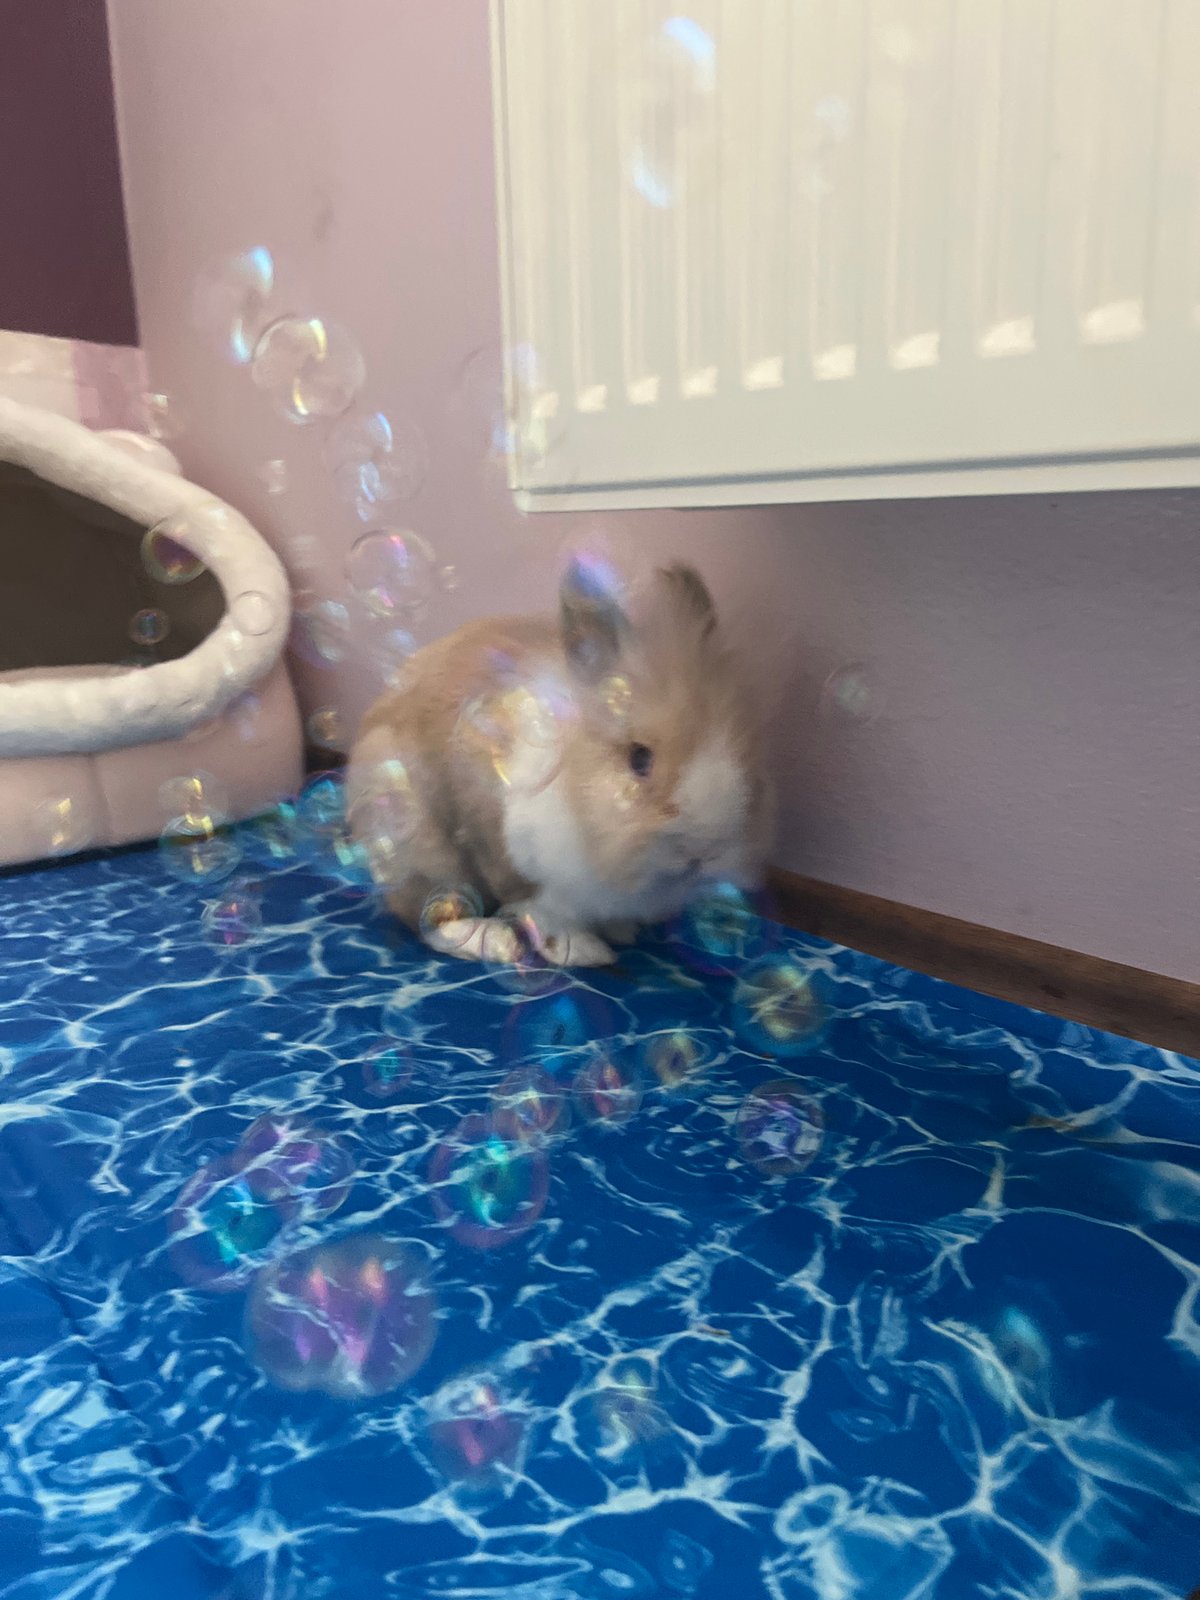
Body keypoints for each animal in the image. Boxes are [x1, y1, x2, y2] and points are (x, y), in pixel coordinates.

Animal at [347, 556, 771, 966]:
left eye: (741, 749)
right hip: (418, 842)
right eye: (639, 759)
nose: (704, 851)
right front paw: (582, 950)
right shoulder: (511, 854)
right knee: (430, 917)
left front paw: (621, 930)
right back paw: (494, 942)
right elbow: (539, 908)